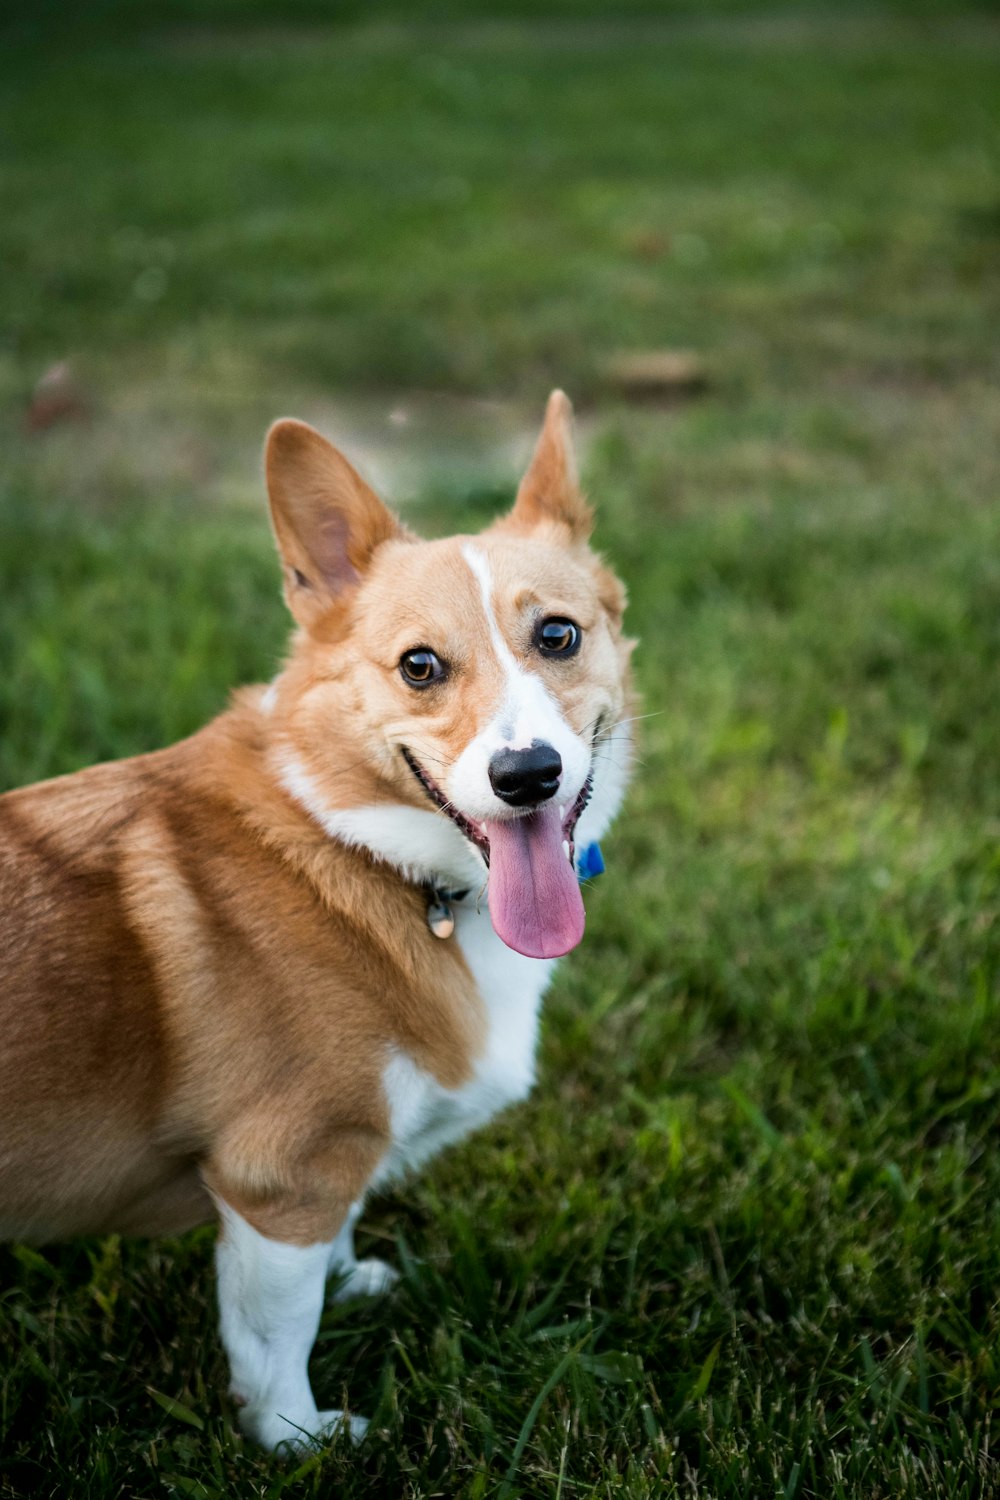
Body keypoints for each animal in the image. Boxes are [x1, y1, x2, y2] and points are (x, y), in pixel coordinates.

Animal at [0, 393, 632, 1446]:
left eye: (558, 636)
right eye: (419, 665)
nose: (527, 776)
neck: (367, 852)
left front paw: (354, 1280)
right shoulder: (280, 1173)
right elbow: (276, 1335)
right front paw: (305, 1443)